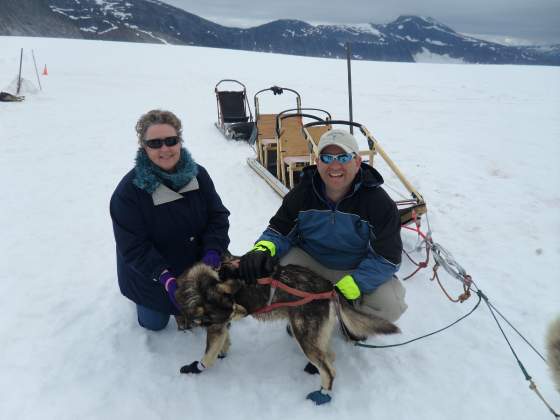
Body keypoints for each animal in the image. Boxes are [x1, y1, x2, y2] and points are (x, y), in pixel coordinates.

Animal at [175, 258, 398, 402]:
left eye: (234, 308)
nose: (246, 311)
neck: (199, 285)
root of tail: (329, 287)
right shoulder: (222, 326)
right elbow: (223, 342)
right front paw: (223, 351)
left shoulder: (216, 327)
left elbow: (207, 356)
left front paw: (196, 367)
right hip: (314, 336)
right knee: (330, 356)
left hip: (303, 336)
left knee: (329, 370)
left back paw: (322, 394)